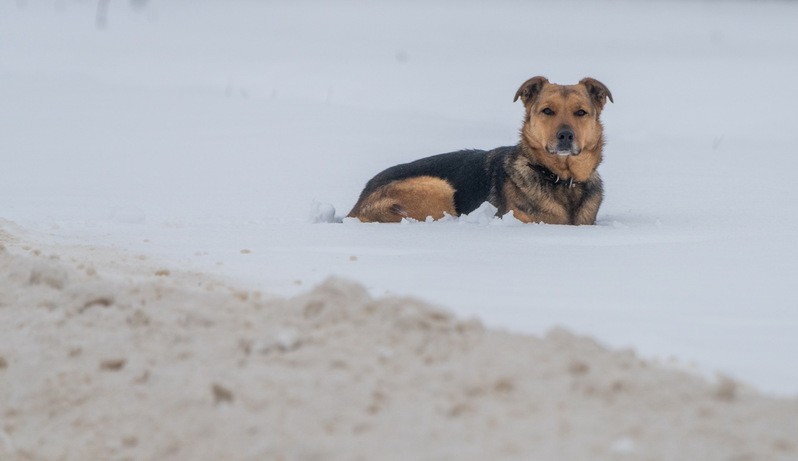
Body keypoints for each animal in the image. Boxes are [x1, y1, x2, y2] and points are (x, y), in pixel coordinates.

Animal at [346, 76, 616, 225]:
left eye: (581, 112)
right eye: (547, 111)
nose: (565, 136)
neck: (561, 178)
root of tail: (358, 204)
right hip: (438, 187)